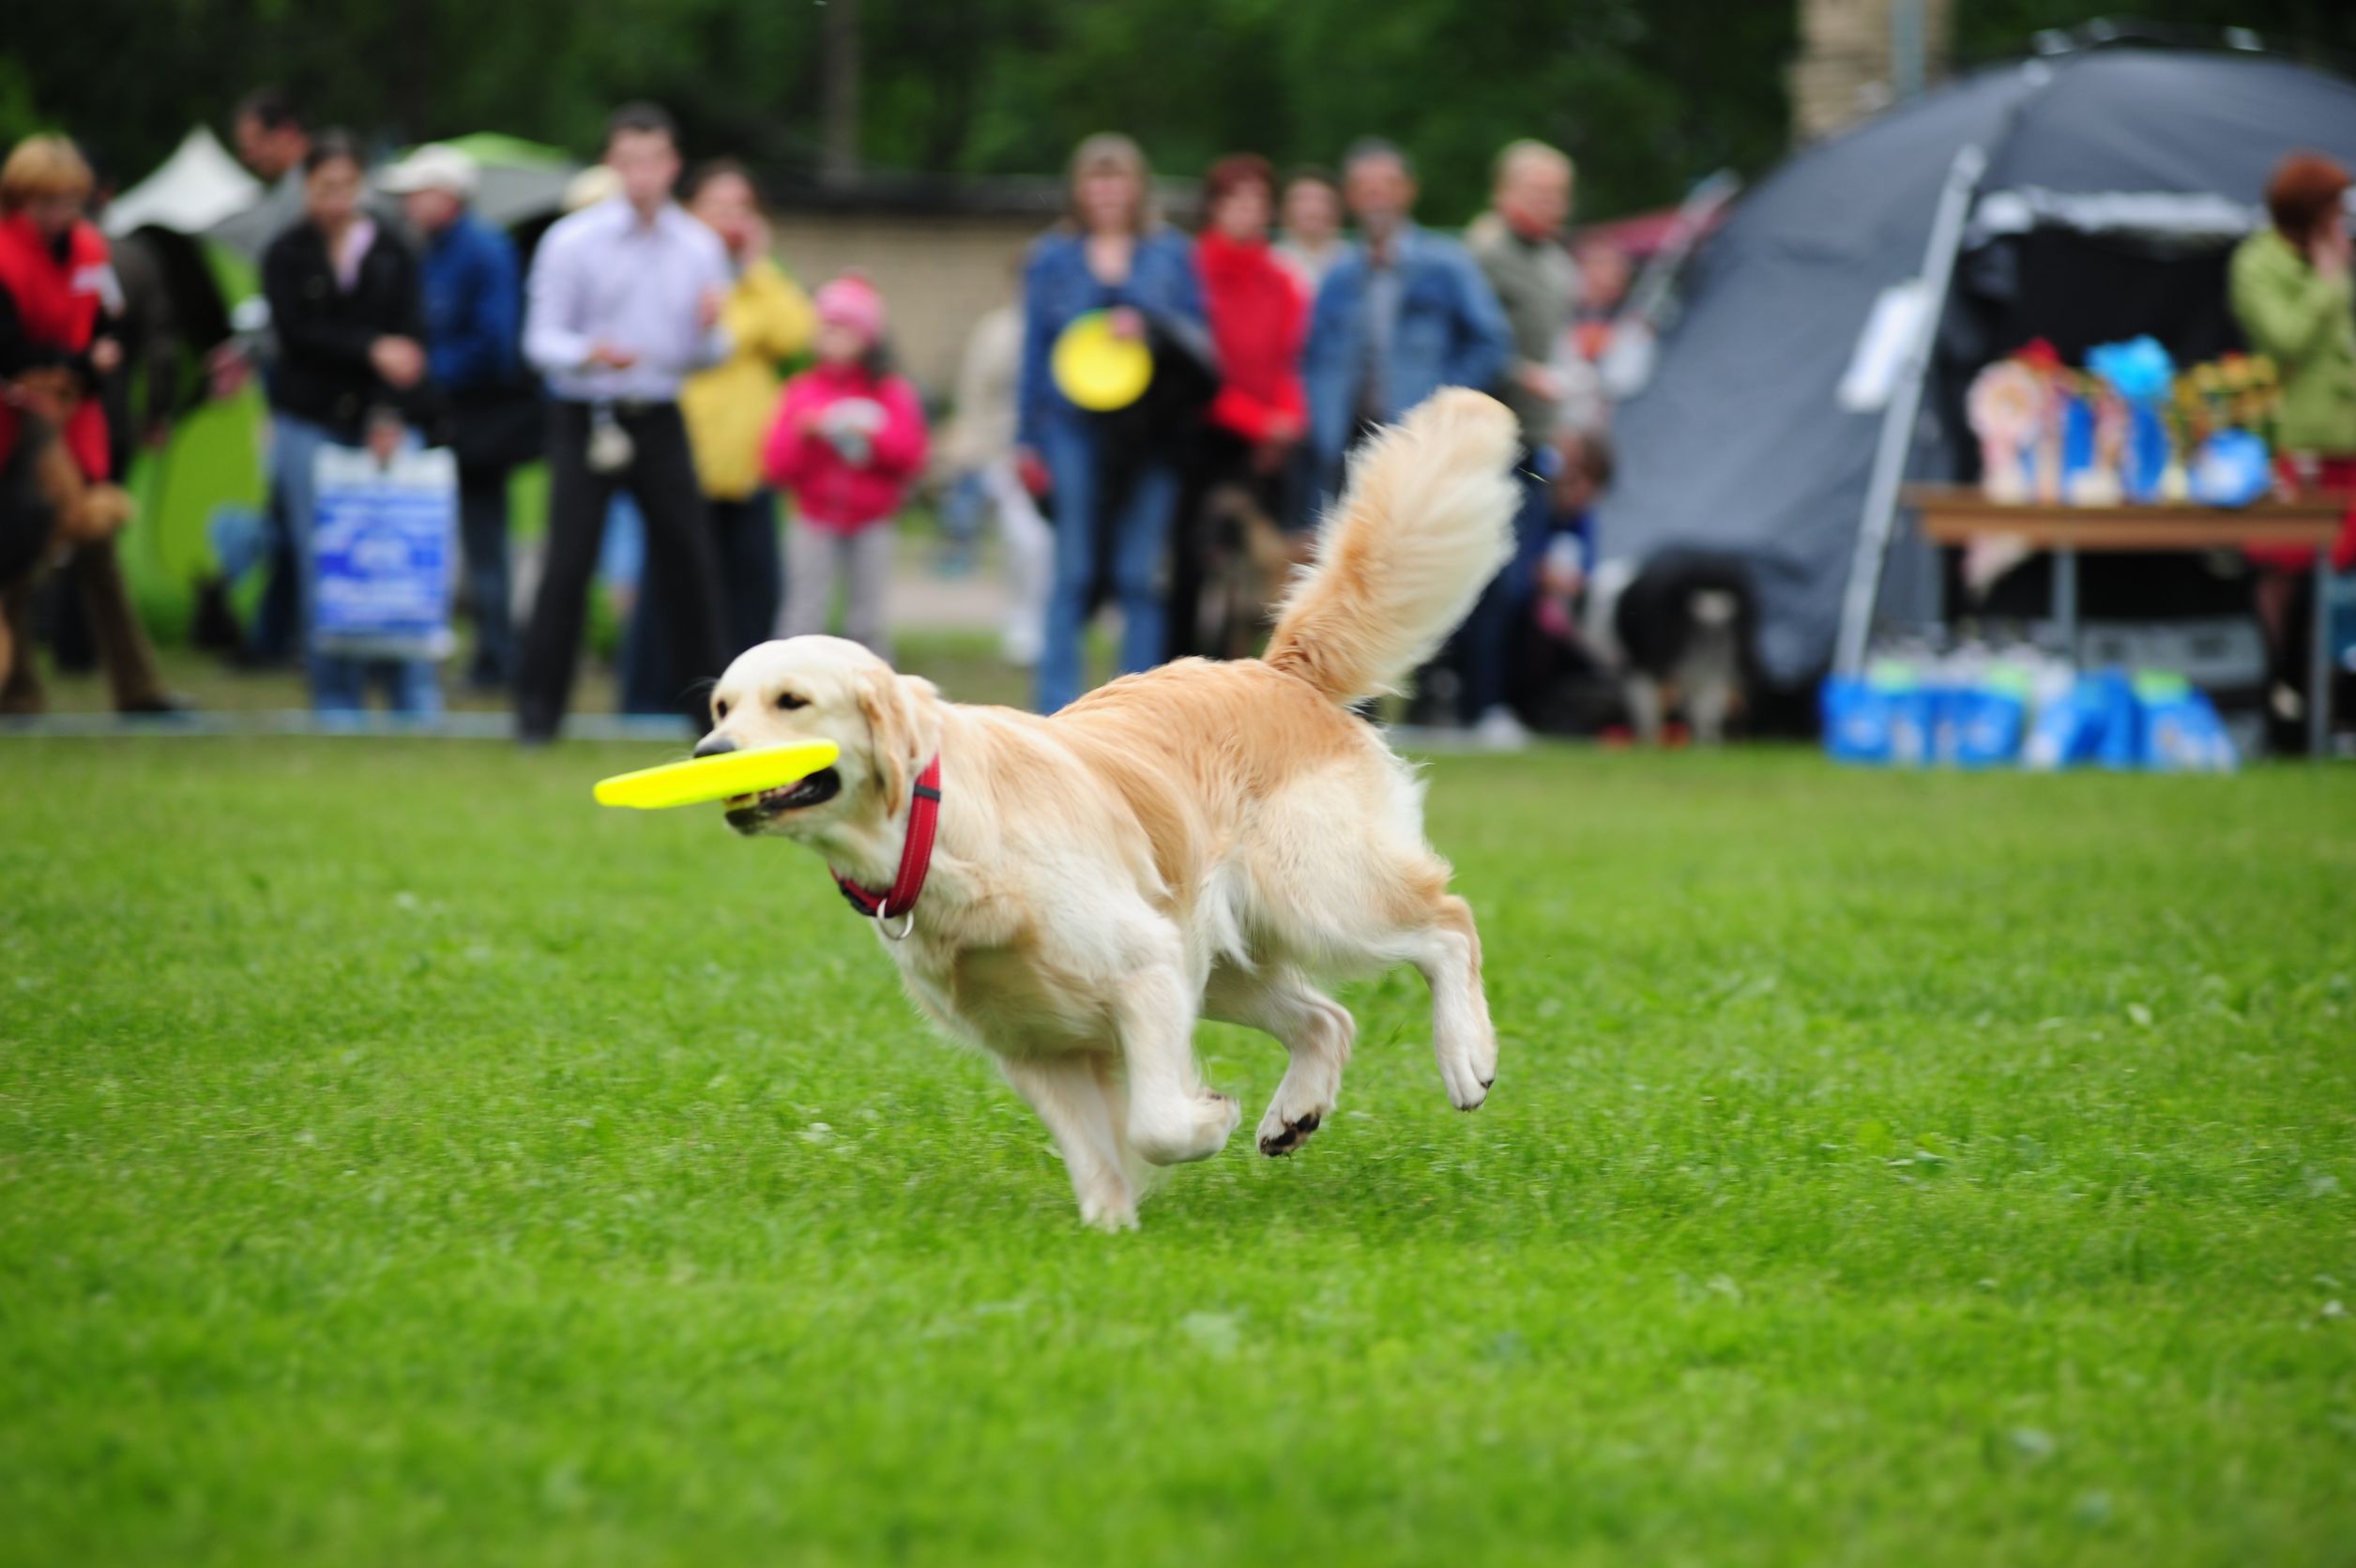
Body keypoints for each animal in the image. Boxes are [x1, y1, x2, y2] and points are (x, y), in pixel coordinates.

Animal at [688, 388, 1517, 1225]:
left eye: (791, 701)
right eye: (722, 706)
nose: (708, 752)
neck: (943, 829)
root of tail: (1278, 671)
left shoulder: (1144, 973)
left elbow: (1153, 1123)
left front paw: (1207, 1120)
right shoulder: (1033, 1042)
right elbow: (1096, 1154)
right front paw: (1110, 1231)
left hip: (1316, 897)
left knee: (1448, 924)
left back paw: (1465, 1057)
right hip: (1217, 956)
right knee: (1328, 1017)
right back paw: (1294, 1113)